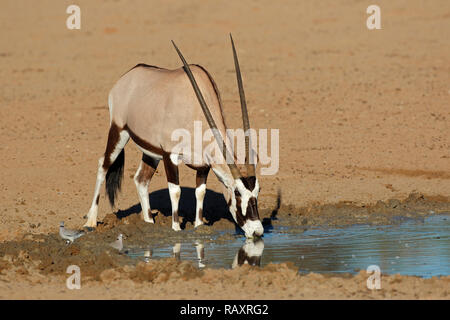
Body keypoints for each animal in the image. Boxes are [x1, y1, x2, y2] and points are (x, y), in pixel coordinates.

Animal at [83, 35, 264, 238]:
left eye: (258, 191)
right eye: (238, 193)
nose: (257, 231)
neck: (195, 108)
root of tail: (127, 76)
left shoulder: (203, 165)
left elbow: (200, 192)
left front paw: (198, 225)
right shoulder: (170, 155)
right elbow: (175, 191)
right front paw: (176, 228)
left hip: (151, 152)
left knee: (141, 179)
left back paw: (148, 223)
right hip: (119, 131)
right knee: (103, 165)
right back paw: (90, 221)